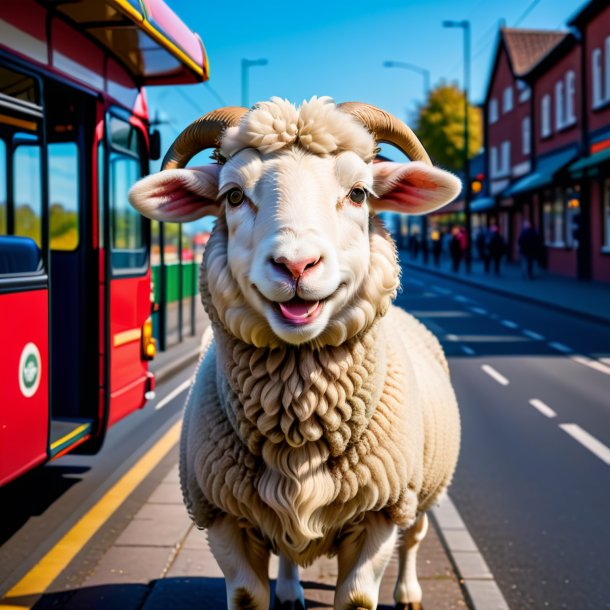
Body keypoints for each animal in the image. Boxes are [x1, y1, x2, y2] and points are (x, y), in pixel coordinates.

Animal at [129, 97, 460, 604]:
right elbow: (248, 596)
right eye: (233, 197)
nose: (297, 265)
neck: (300, 431)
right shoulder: (221, 518)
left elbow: (359, 596)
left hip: (422, 492)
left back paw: (408, 592)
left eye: (359, 194)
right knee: (288, 550)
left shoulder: (380, 516)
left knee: (415, 537)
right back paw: (289, 590)